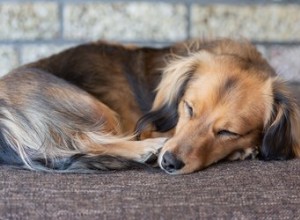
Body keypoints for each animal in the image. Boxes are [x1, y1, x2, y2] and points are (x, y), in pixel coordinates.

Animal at [0, 38, 298, 174]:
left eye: (228, 132)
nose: (170, 162)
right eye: (189, 108)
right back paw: (146, 150)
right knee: (85, 140)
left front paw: (243, 149)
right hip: (91, 106)